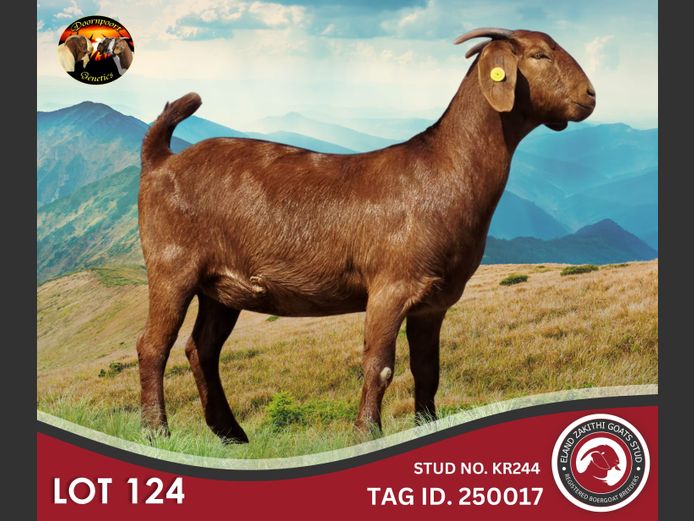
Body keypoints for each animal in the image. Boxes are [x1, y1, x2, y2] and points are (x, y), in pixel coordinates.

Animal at [138, 28, 595, 443]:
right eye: (539, 54)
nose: (590, 96)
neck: (441, 170)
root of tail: (161, 161)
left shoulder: (433, 301)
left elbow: (427, 370)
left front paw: (425, 427)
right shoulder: (390, 286)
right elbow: (380, 365)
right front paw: (365, 433)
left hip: (221, 288)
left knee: (202, 349)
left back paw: (232, 434)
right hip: (172, 266)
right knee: (153, 346)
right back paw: (156, 431)